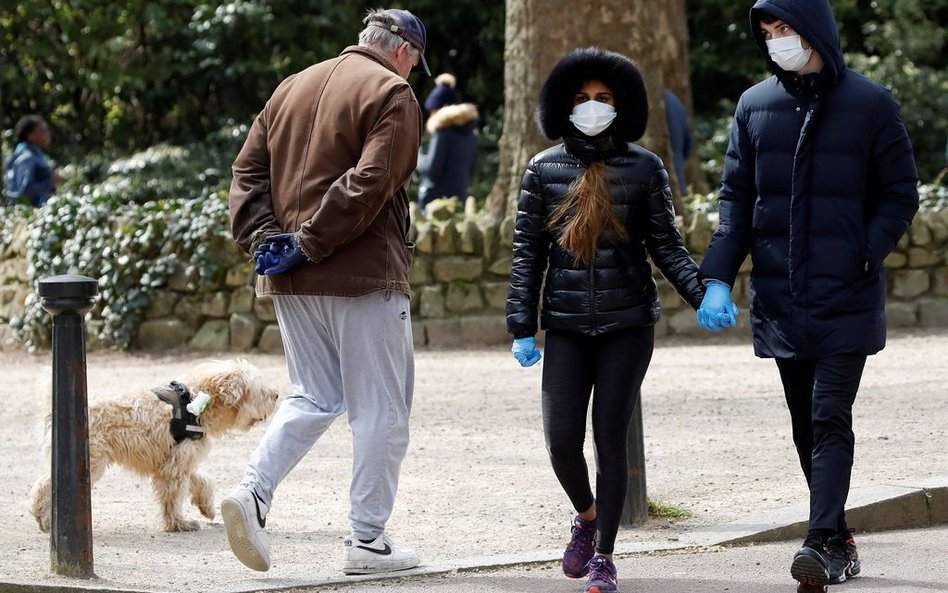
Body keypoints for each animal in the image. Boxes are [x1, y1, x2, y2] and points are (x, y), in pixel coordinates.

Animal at [28, 360, 278, 532]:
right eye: (259, 390)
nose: (276, 394)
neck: (196, 403)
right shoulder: (174, 468)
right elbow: (173, 497)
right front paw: (178, 523)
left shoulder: (179, 460)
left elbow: (201, 480)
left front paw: (206, 506)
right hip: (91, 462)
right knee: (45, 486)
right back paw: (44, 517)